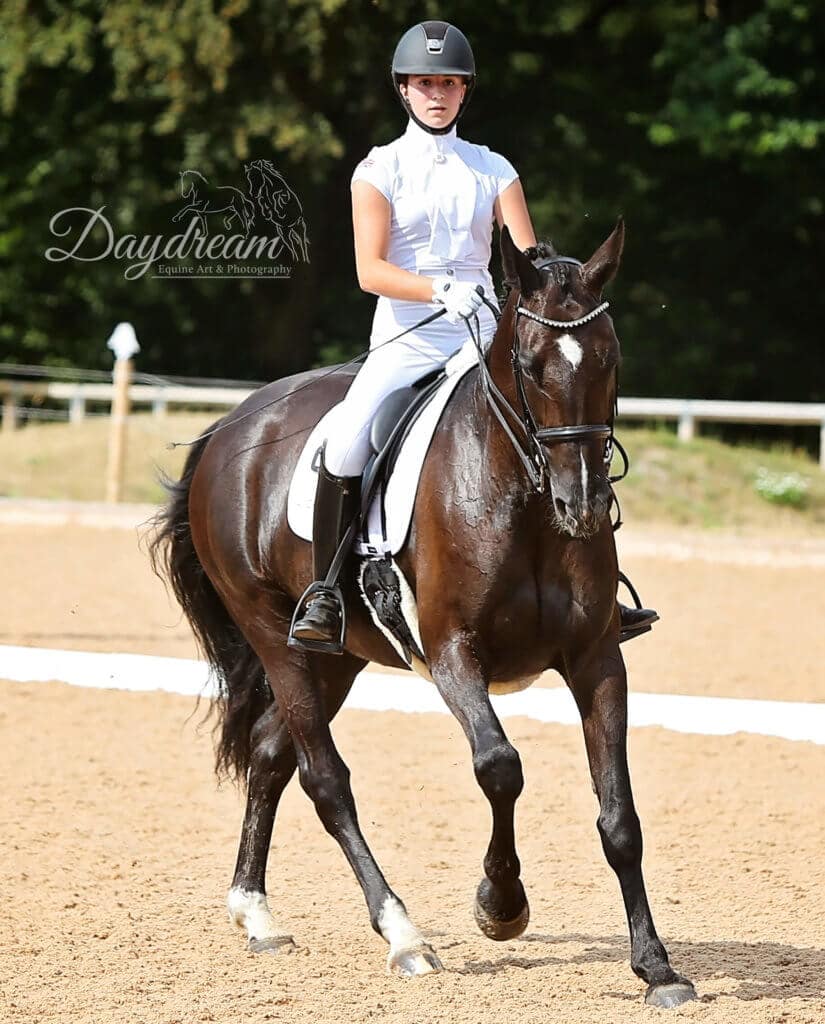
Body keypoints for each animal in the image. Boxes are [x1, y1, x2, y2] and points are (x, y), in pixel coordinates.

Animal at [149, 221, 696, 1008]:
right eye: (530, 365)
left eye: (610, 360)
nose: (584, 506)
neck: (521, 497)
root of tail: (228, 426)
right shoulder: (451, 653)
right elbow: (499, 767)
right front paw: (500, 906)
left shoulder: (596, 658)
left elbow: (619, 815)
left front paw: (656, 968)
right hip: (272, 633)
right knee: (324, 779)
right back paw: (402, 934)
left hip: (335, 658)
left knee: (270, 753)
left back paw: (256, 914)